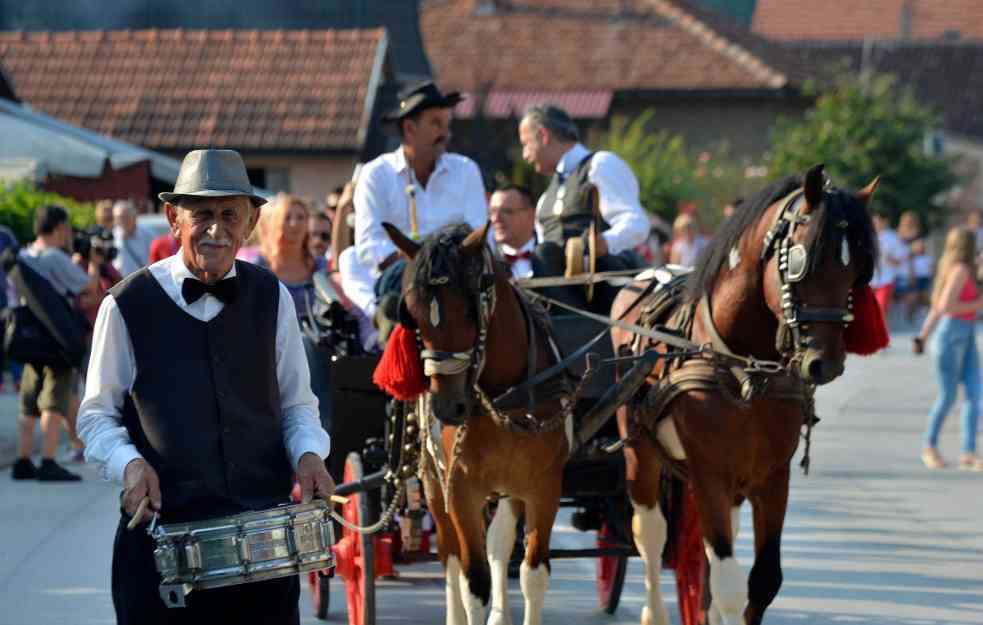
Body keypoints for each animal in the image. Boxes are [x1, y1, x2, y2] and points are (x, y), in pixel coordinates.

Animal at [384, 222, 568, 624]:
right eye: (413, 317)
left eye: (470, 312)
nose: (447, 408)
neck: (506, 396)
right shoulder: (460, 489)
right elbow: (473, 581)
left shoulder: (544, 486)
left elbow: (533, 574)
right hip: (433, 483)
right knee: (451, 558)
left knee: (498, 543)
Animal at [612, 166, 880, 624]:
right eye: (802, 262)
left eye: (859, 270)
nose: (824, 363)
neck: (744, 370)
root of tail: (642, 279)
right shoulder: (710, 475)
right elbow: (729, 583)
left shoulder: (771, 476)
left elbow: (764, 579)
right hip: (640, 453)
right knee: (649, 534)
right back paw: (654, 611)